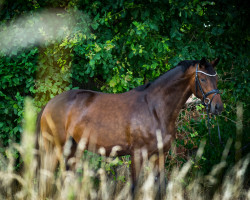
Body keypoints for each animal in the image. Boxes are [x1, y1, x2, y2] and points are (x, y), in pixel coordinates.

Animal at [36, 57, 223, 191]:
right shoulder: (138, 155)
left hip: (73, 150)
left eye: (216, 79)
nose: (218, 107)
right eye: (203, 79)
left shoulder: (159, 155)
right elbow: (134, 188)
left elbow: (161, 188)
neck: (154, 108)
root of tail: (49, 104)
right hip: (54, 149)